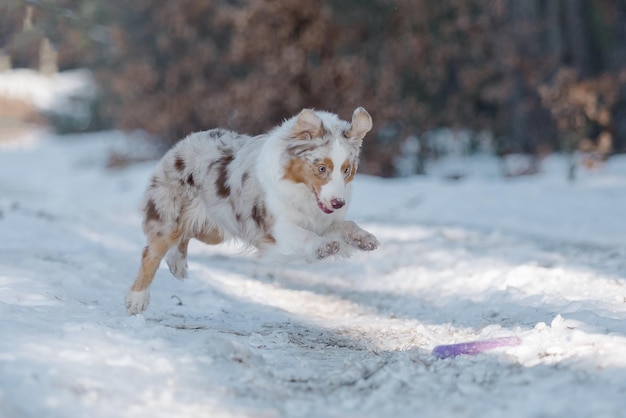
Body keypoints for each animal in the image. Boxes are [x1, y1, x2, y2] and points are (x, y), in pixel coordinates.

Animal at [124, 106, 378, 316]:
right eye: (322, 168)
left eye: (346, 170)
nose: (338, 203)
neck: (301, 192)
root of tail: (185, 142)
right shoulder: (275, 227)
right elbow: (303, 235)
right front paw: (323, 247)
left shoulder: (323, 221)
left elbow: (346, 225)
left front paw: (364, 239)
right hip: (172, 214)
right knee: (153, 252)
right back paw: (137, 299)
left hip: (215, 229)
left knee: (185, 235)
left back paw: (177, 263)